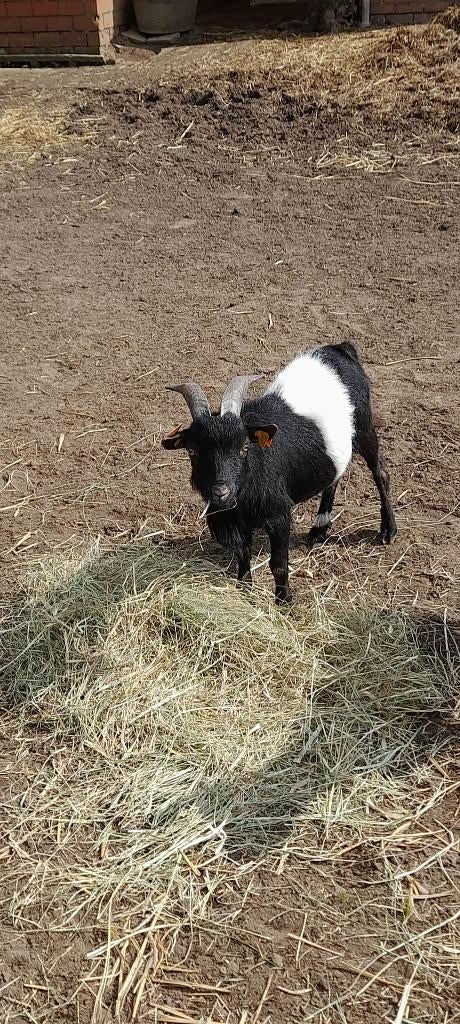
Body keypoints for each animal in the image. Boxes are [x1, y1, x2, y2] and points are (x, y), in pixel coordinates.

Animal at [162, 342, 396, 604]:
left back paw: (388, 530)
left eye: (244, 447)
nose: (221, 492)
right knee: (335, 477)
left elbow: (278, 564)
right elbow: (243, 555)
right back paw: (319, 529)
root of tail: (339, 349)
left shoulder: (279, 515)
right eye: (192, 450)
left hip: (365, 427)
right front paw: (245, 591)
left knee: (380, 472)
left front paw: (284, 602)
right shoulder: (236, 520)